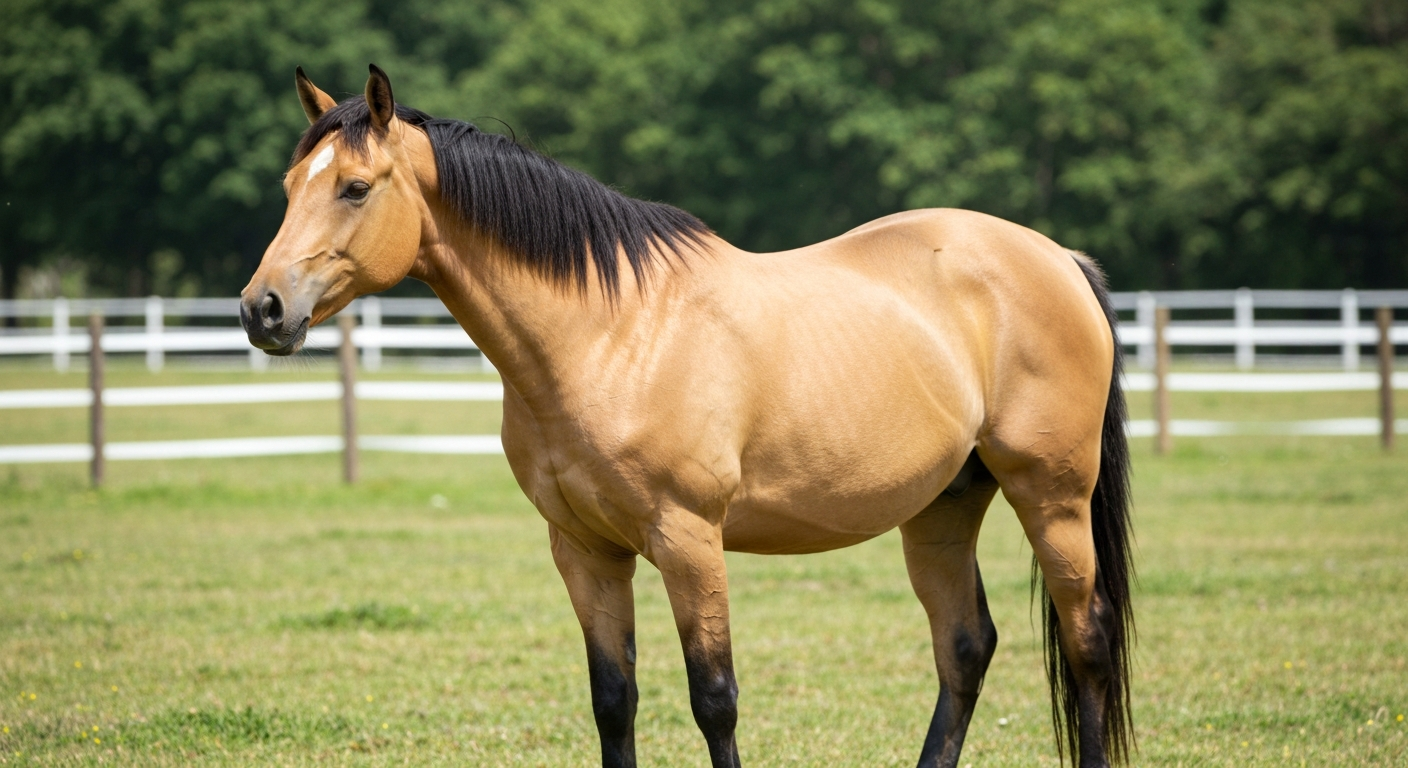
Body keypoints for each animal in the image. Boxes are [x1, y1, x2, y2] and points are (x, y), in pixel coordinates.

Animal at [242, 65, 1135, 768]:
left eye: (355, 188)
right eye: (289, 189)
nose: (262, 309)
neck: (612, 334)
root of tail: (1058, 259)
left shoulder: (688, 540)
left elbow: (714, 700)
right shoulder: (585, 551)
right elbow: (614, 700)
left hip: (1050, 496)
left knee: (1086, 640)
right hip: (944, 505)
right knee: (965, 647)